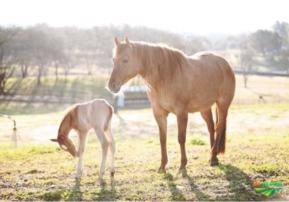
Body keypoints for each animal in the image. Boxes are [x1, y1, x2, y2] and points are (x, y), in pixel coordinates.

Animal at [108, 37, 234, 171]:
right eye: (113, 59)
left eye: (125, 60)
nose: (111, 85)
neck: (166, 76)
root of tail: (224, 63)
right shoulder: (159, 114)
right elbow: (162, 139)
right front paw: (162, 166)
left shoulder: (181, 113)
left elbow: (181, 138)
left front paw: (183, 164)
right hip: (204, 108)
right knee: (211, 128)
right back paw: (213, 157)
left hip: (223, 105)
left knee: (219, 127)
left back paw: (213, 156)